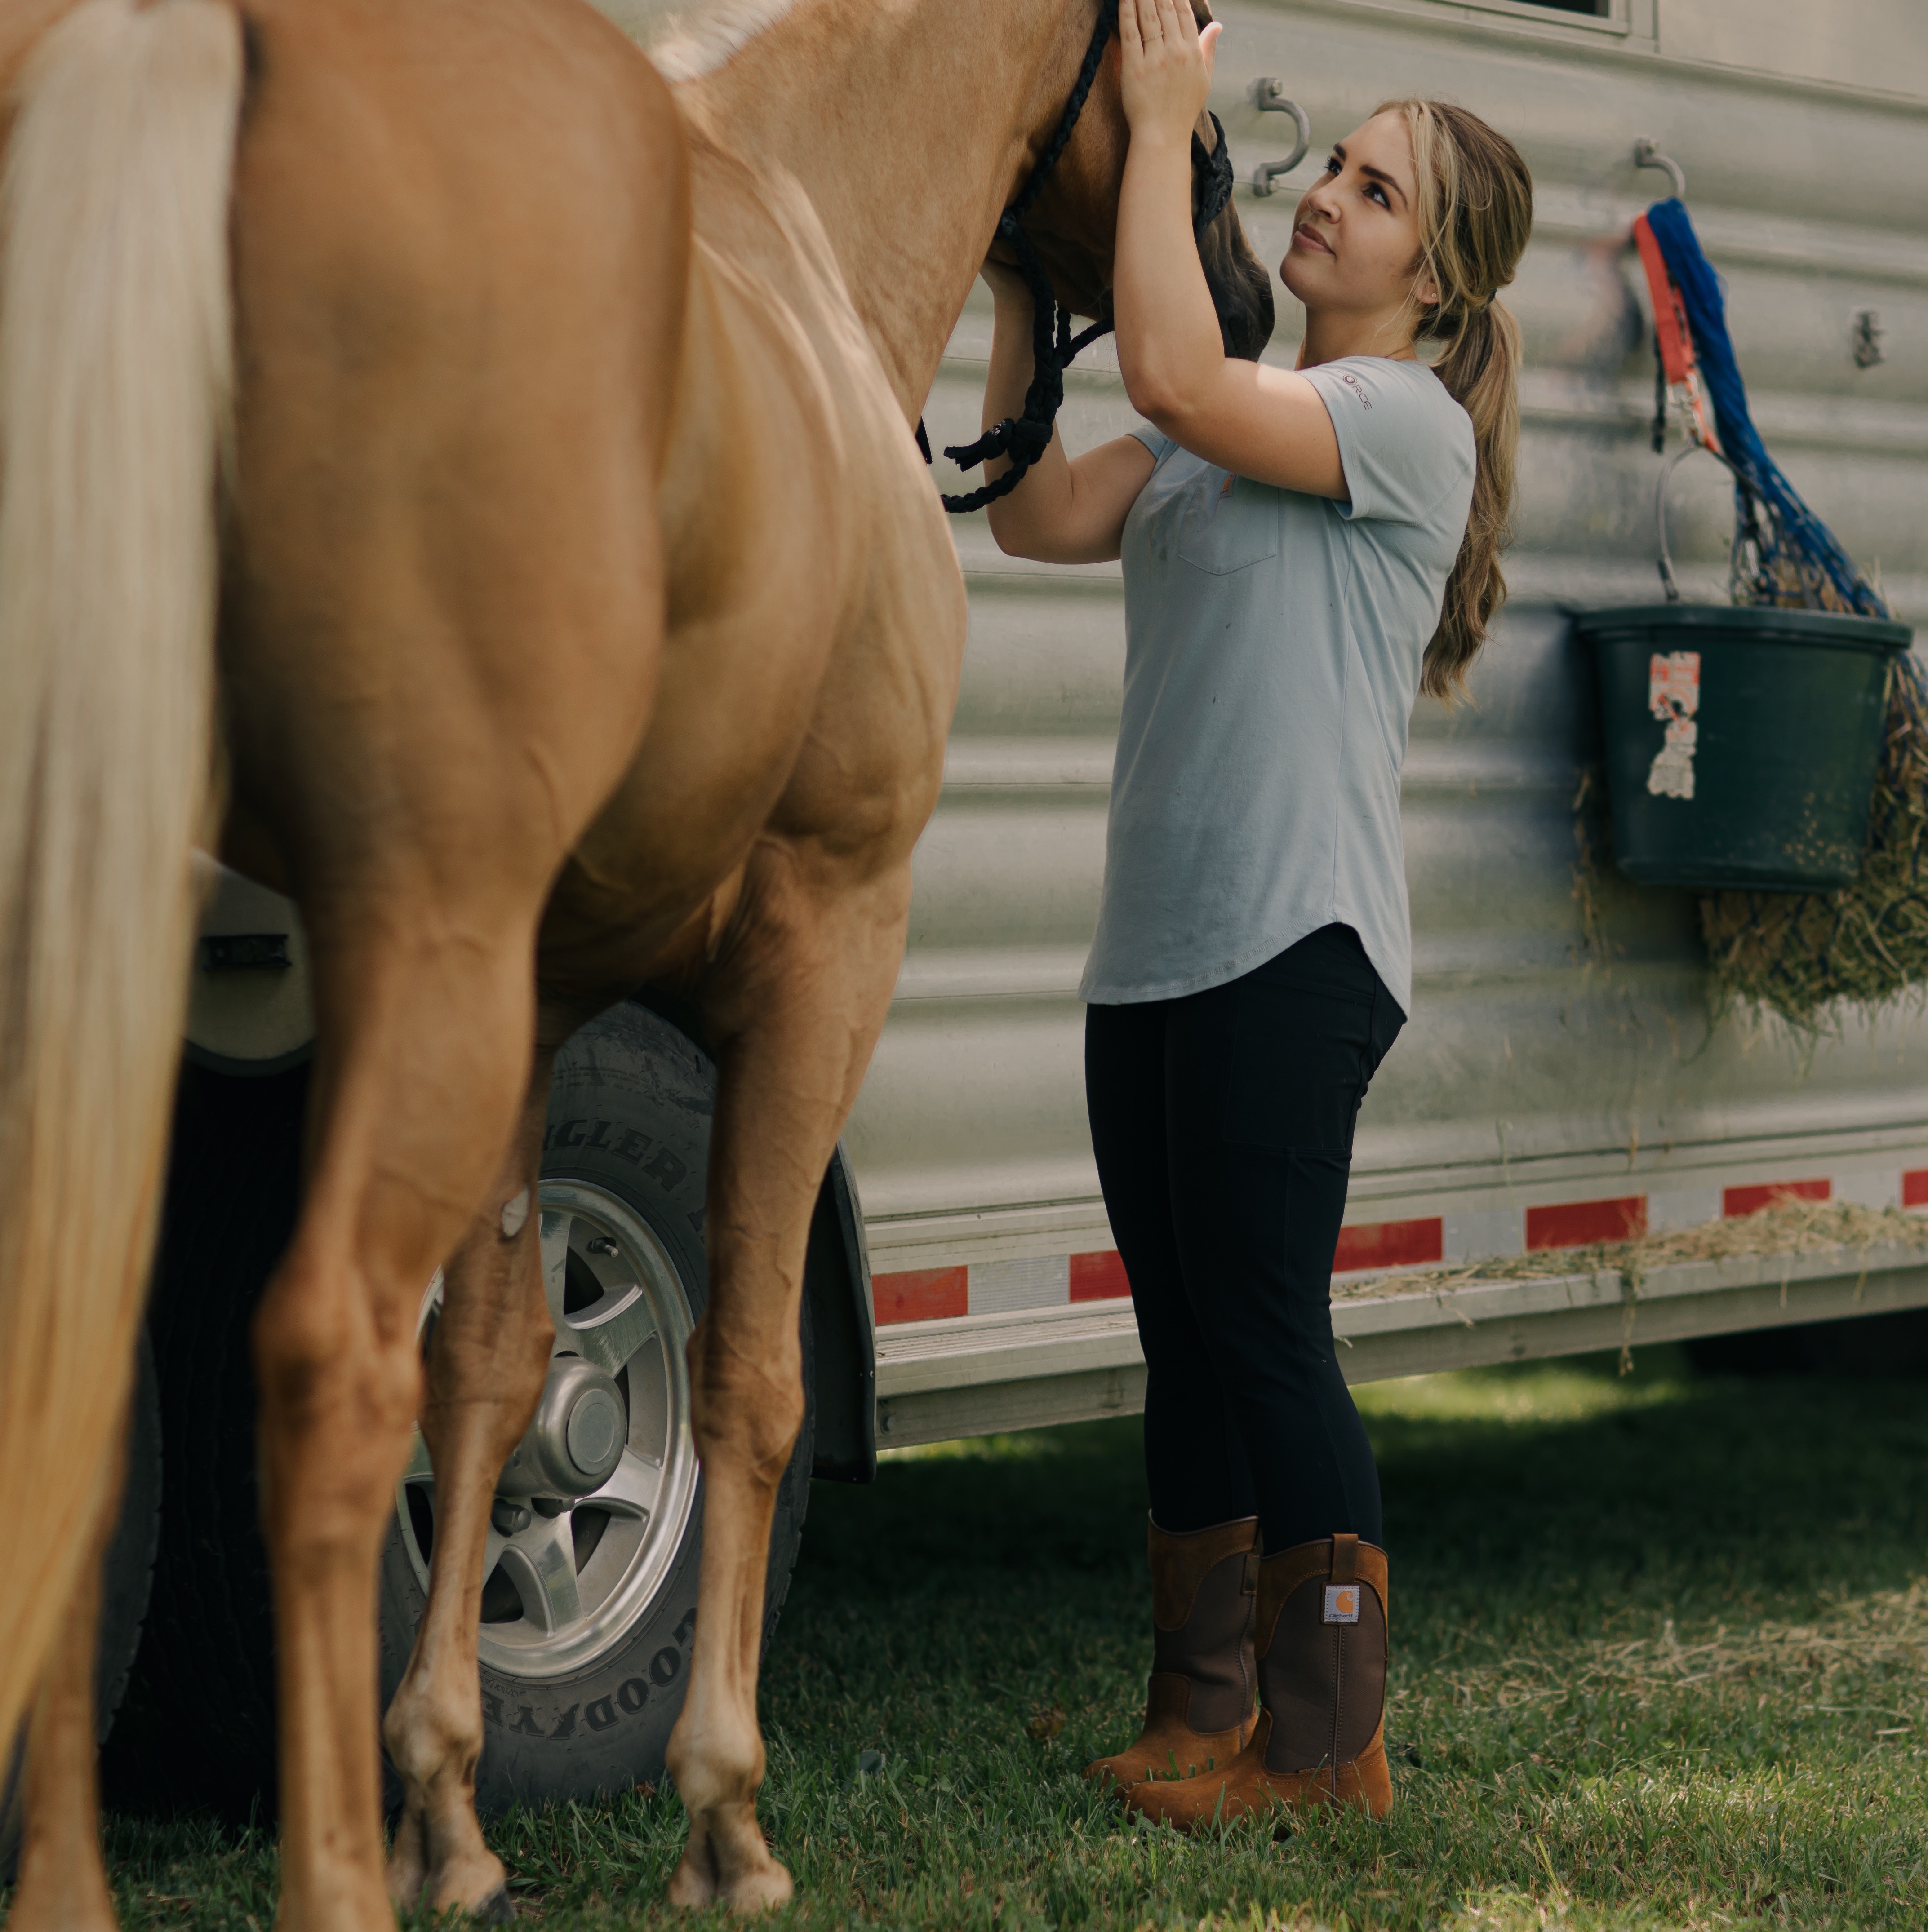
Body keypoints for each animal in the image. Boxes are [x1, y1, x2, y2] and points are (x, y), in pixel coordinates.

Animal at [0, 0, 1269, 1919]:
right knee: (325, 1363)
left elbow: (500, 1362)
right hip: (410, 954)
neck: (791, 209)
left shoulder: (533, 1004)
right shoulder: (828, 942)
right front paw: (723, 1813)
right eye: (1197, 48)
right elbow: (749, 1367)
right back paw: (335, 1878)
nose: (1250, 306)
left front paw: (452, 1808)